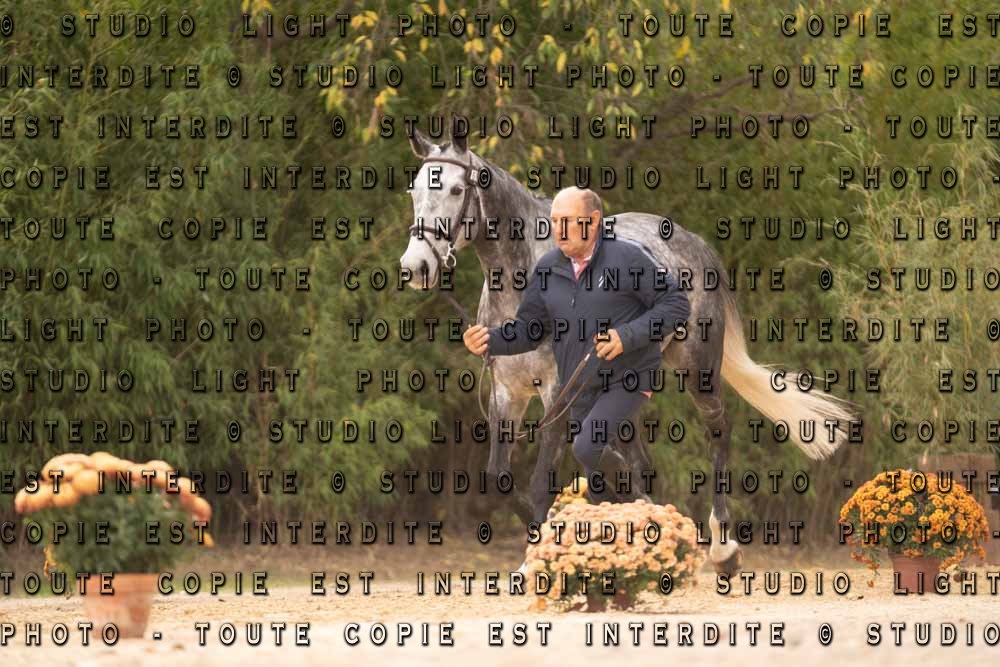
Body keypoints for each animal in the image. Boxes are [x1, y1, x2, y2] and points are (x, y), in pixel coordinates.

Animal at [398, 127, 857, 576]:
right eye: (414, 190)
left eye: (457, 189)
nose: (416, 267)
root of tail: (691, 241)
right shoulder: (506, 394)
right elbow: (498, 477)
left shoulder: (557, 395)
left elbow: (542, 477)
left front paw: (533, 561)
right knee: (639, 458)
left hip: (697, 370)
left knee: (718, 432)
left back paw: (722, 547)